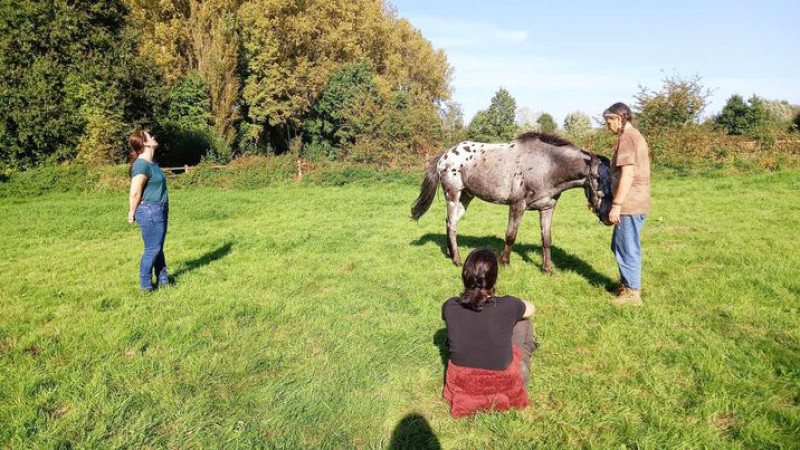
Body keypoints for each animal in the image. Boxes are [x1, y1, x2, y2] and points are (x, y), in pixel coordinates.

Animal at [411, 132, 614, 272]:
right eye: (597, 177)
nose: (609, 217)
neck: (547, 166)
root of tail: (445, 155)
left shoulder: (548, 208)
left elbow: (546, 239)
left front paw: (547, 269)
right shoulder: (517, 205)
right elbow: (510, 235)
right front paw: (505, 263)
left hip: (466, 196)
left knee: (449, 222)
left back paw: (450, 253)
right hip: (453, 194)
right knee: (452, 225)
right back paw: (457, 260)